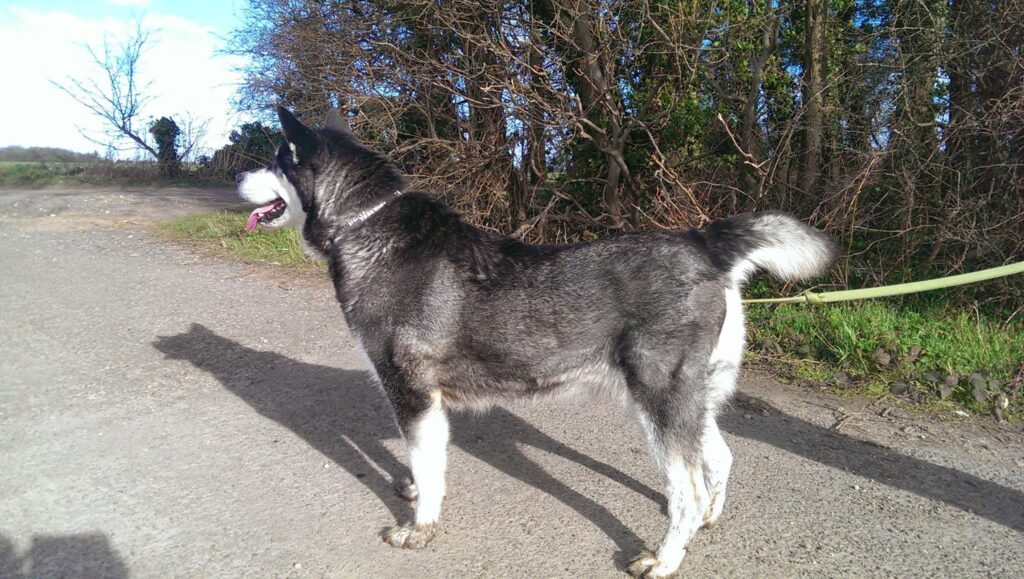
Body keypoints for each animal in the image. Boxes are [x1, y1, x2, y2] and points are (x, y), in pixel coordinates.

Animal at [235, 106, 835, 573]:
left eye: (275, 159)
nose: (236, 173)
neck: (367, 227)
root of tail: (701, 243)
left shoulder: (412, 394)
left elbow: (427, 470)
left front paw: (421, 526)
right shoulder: (425, 405)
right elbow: (428, 467)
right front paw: (416, 492)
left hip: (658, 399)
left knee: (684, 490)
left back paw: (666, 557)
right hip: (690, 398)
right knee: (720, 459)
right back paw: (708, 518)